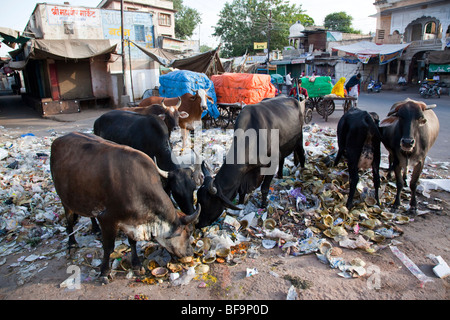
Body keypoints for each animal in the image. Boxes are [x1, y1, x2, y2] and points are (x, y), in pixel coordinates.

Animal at [50, 132, 200, 282]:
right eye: (187, 232)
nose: (190, 253)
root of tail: (58, 140)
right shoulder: (107, 219)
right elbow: (108, 247)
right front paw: (104, 272)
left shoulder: (132, 222)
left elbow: (132, 242)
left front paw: (136, 265)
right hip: (65, 199)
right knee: (69, 220)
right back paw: (72, 244)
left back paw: (95, 228)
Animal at [197, 96, 306, 229]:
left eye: (208, 202)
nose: (198, 224)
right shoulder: (245, 173)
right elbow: (241, 191)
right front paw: (241, 203)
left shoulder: (272, 162)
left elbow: (264, 188)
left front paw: (263, 205)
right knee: (283, 160)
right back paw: (280, 175)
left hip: (299, 139)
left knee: (302, 154)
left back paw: (302, 172)